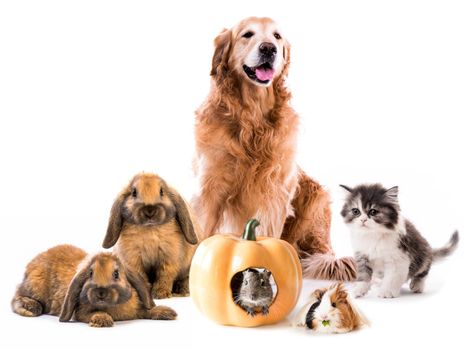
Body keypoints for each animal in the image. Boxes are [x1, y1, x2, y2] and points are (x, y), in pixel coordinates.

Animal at [12, 245, 177, 326]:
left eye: (116, 274)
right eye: (90, 273)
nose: (101, 292)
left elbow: (147, 311)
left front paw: (167, 312)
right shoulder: (81, 313)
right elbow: (93, 313)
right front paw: (102, 320)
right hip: (35, 286)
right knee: (16, 298)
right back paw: (30, 308)